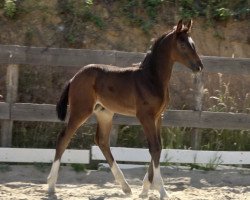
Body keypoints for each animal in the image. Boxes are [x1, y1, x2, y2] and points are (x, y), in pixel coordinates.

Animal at [47, 19, 204, 198]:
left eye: (193, 43)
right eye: (183, 45)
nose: (199, 66)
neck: (151, 78)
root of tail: (74, 77)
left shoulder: (158, 116)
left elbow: (158, 147)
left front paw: (145, 190)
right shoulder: (145, 116)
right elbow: (154, 148)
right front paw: (161, 190)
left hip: (105, 113)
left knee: (102, 141)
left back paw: (126, 187)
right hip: (81, 110)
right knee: (63, 137)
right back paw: (51, 186)